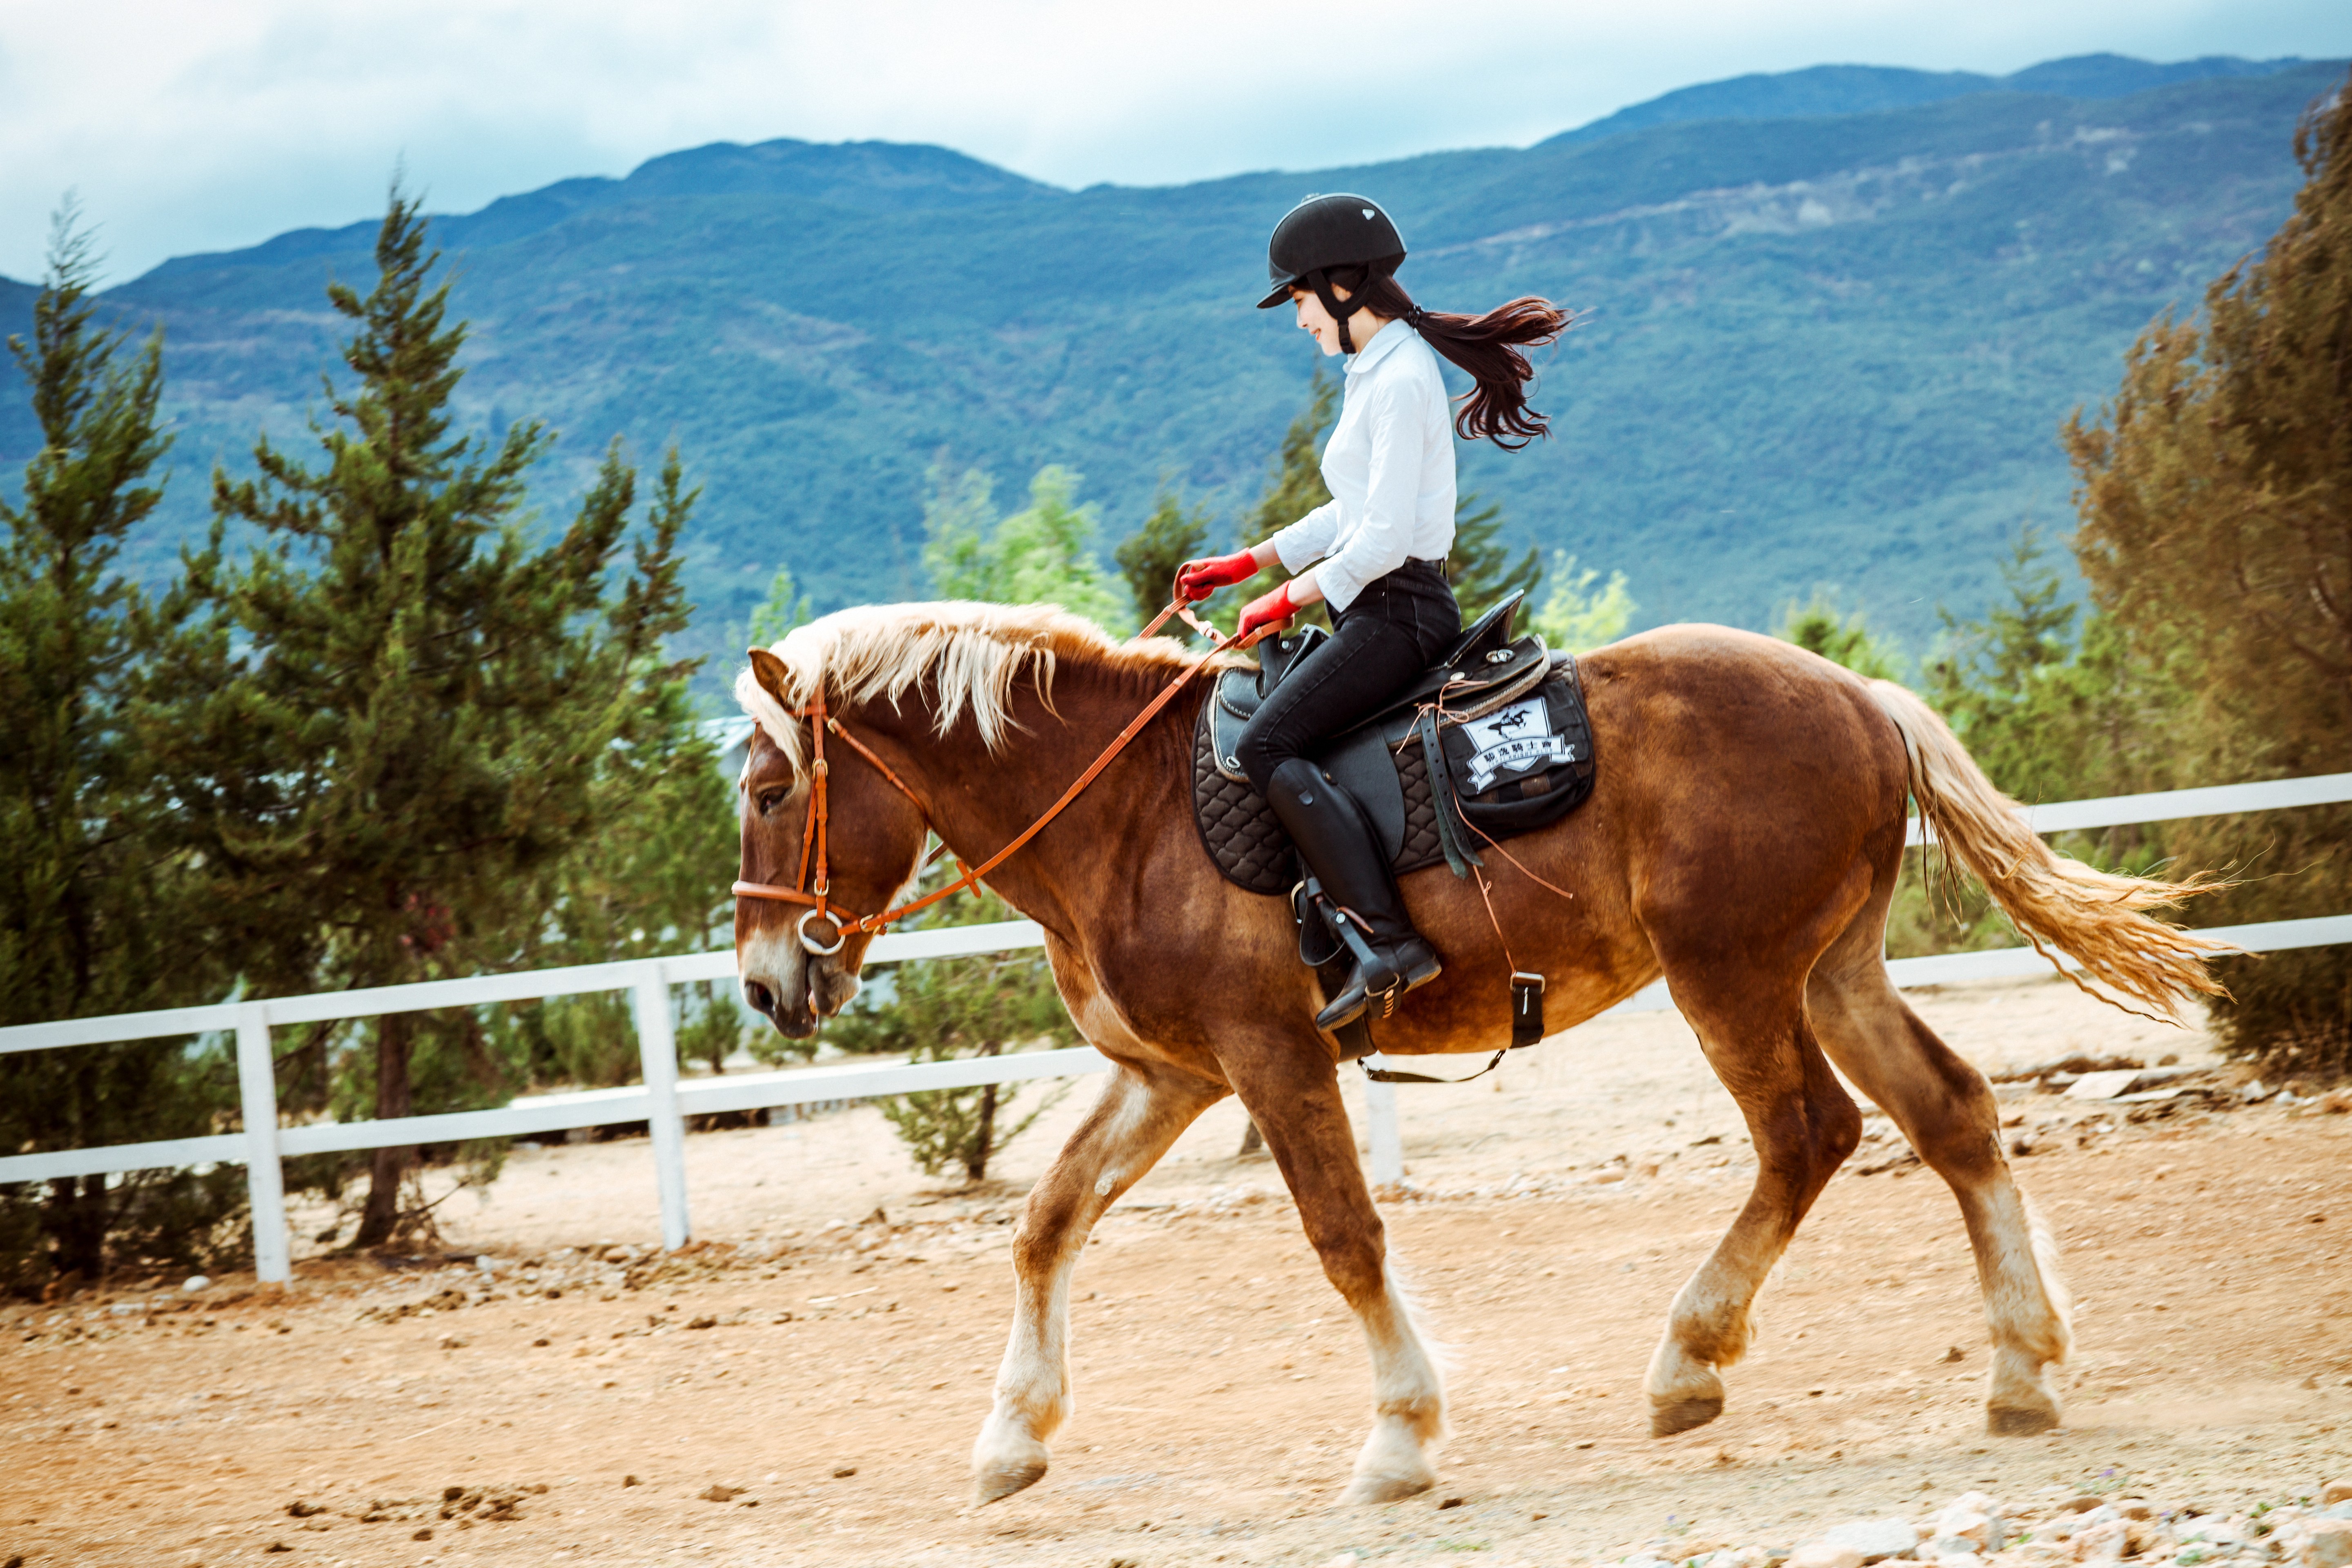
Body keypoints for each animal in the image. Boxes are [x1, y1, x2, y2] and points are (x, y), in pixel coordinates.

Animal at [729, 601, 2220, 1504]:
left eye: (769, 788)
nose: (764, 982)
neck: (1123, 814)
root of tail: (1853, 692)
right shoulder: (1172, 1074)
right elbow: (1045, 1223)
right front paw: (1010, 1439)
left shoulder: (1272, 1059)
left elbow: (1345, 1237)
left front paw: (1398, 1437)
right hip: (1834, 969)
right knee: (1949, 1113)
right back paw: (2019, 1369)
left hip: (1734, 980)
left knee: (1808, 1136)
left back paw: (1691, 1359)